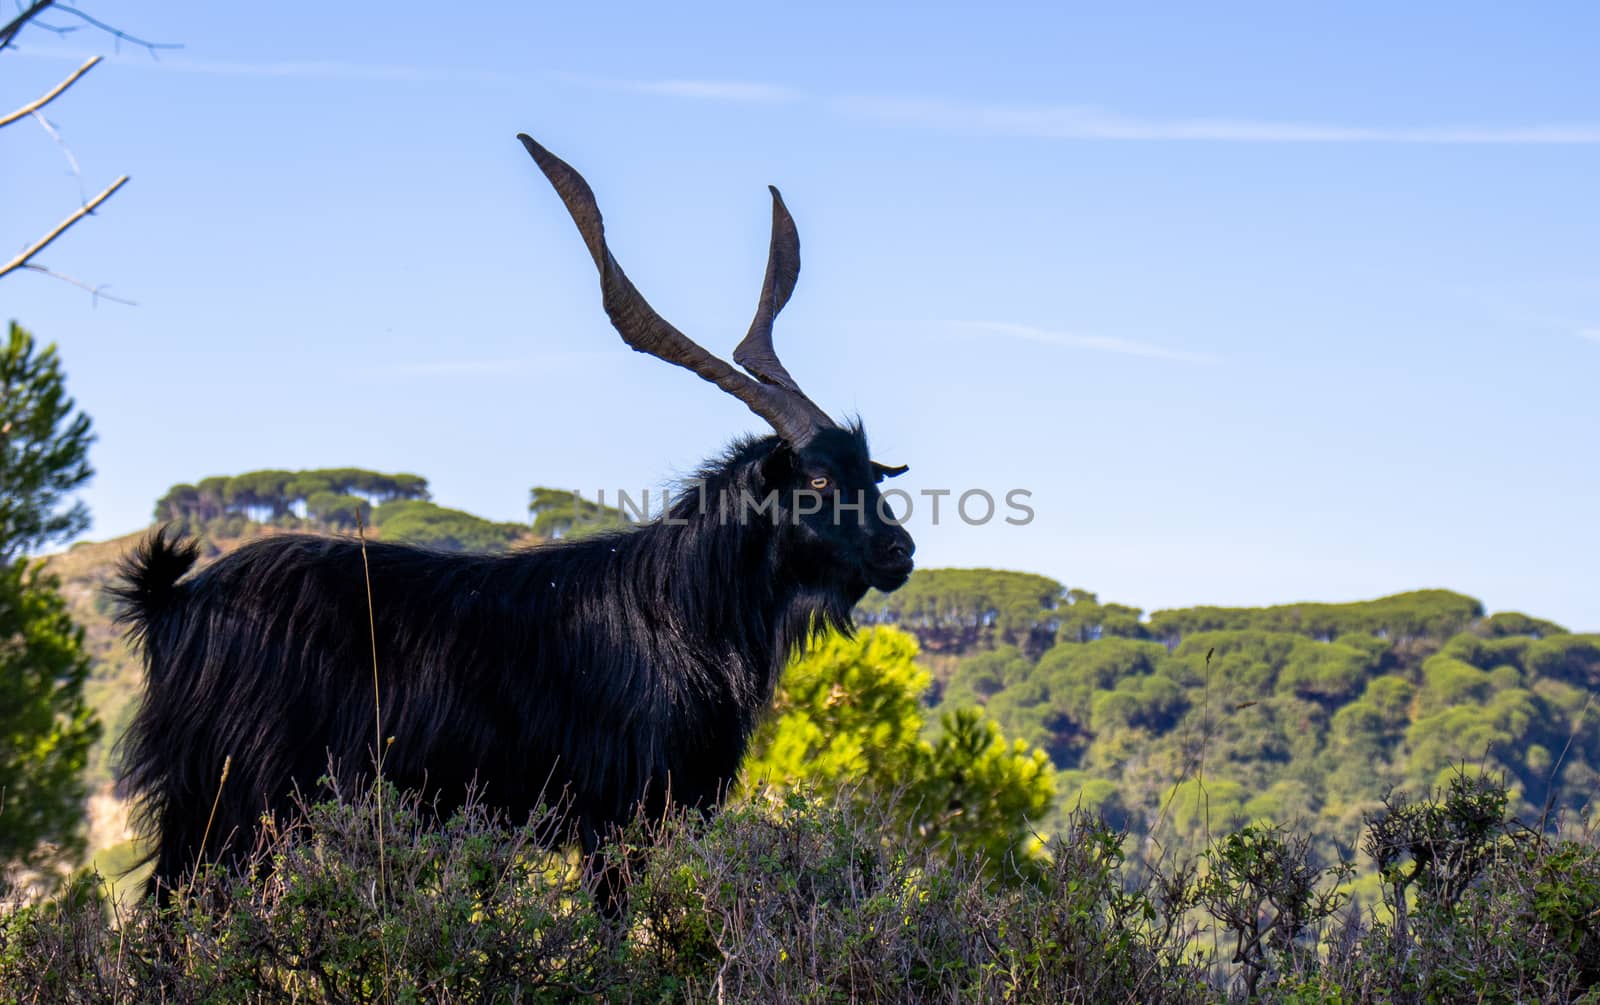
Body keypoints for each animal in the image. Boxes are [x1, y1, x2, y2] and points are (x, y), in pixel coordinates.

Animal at [112, 135, 915, 902]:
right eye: (816, 479)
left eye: (870, 473)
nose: (898, 550)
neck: (684, 610)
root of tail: (175, 599)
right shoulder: (614, 816)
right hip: (233, 798)